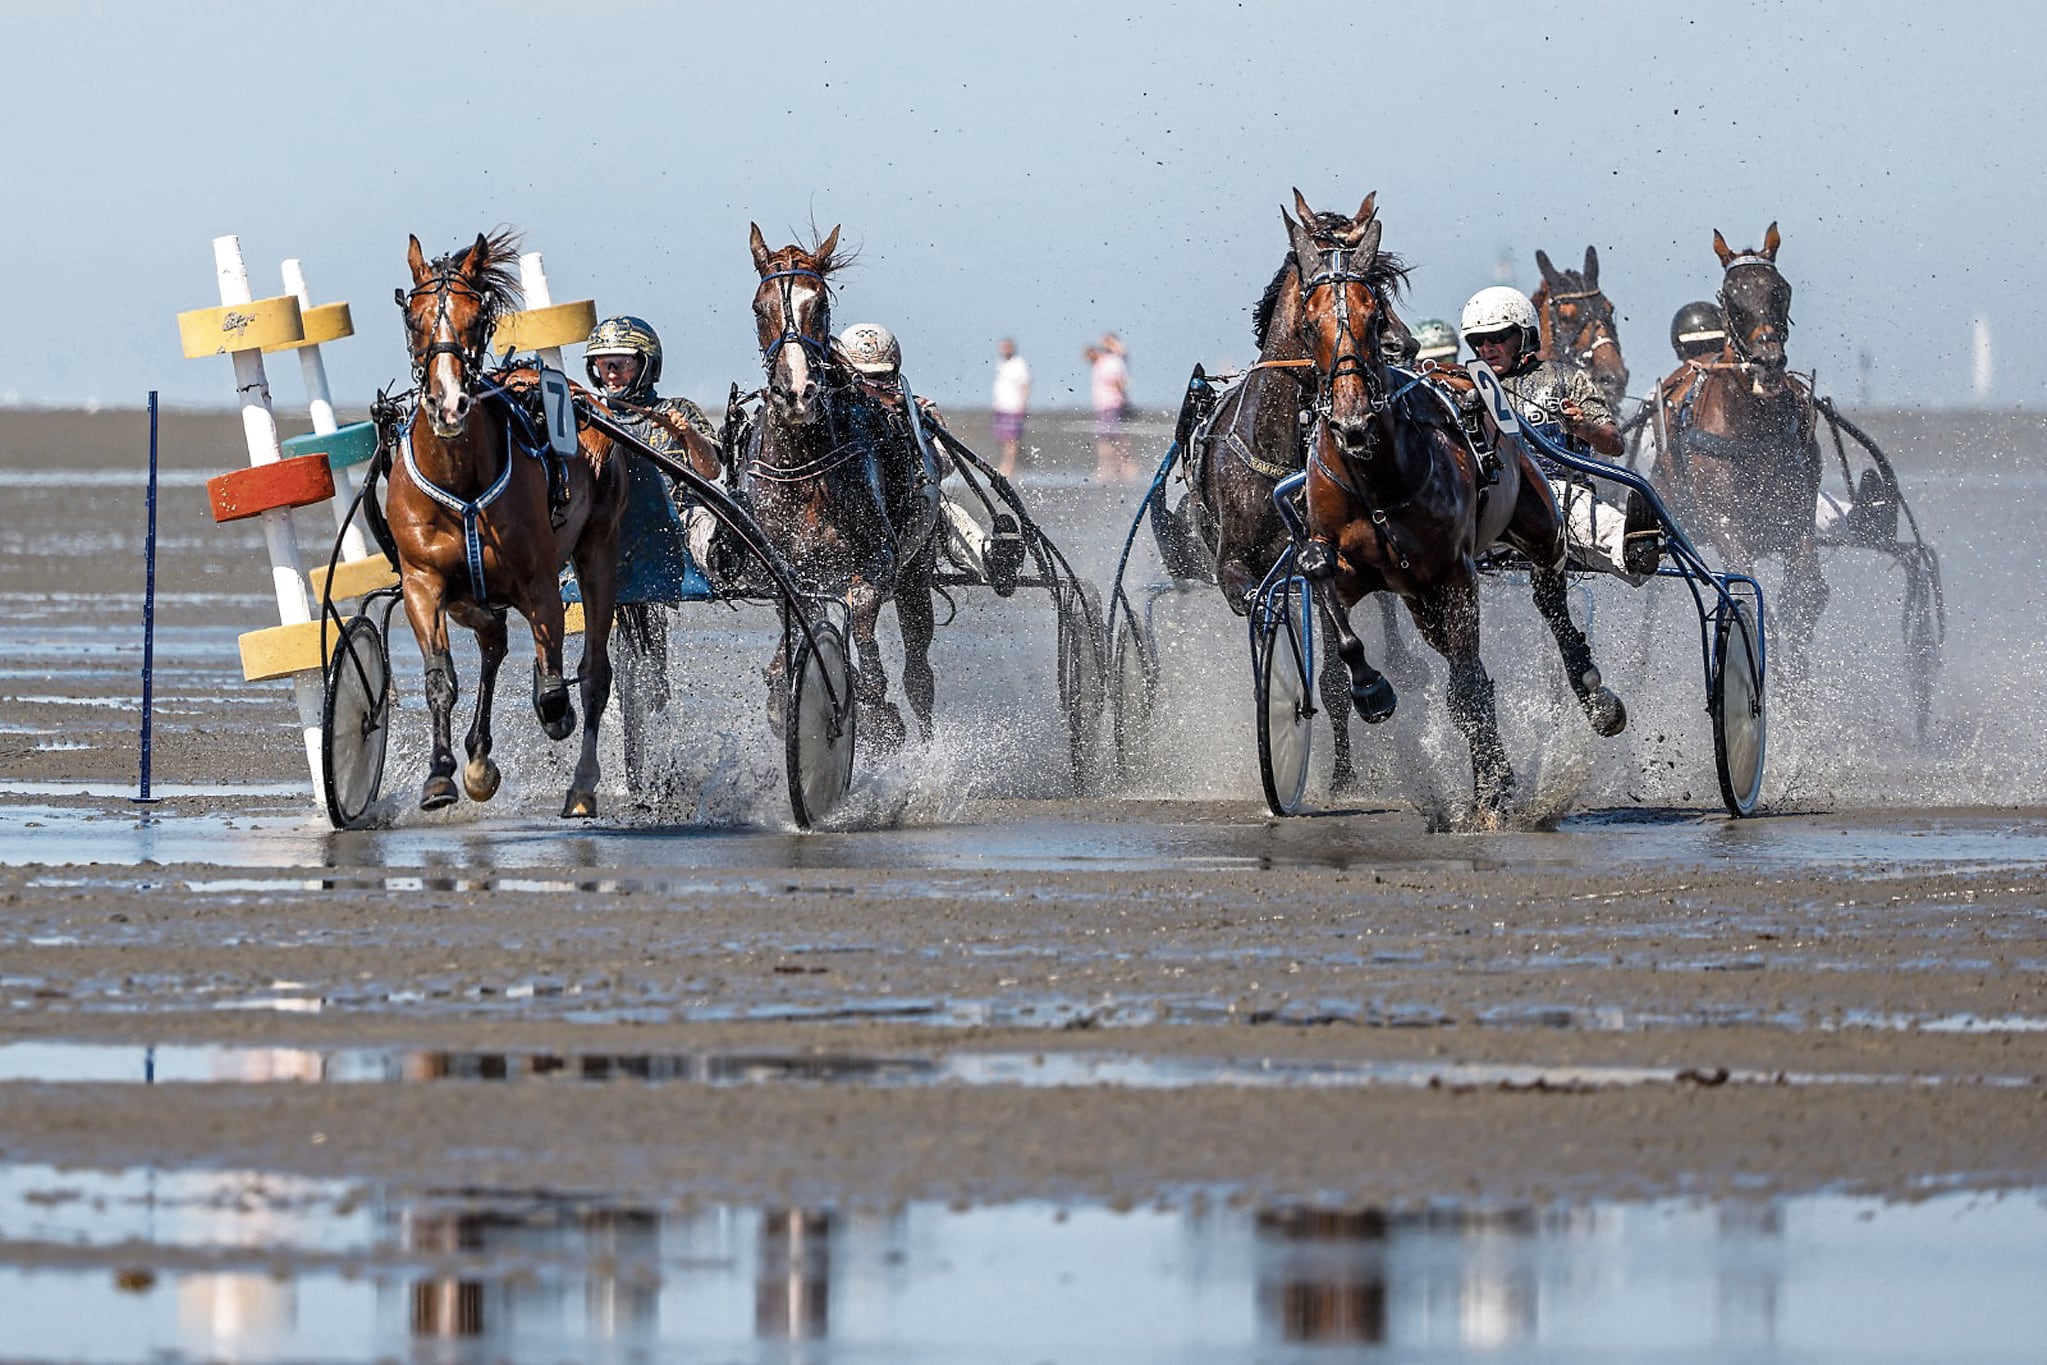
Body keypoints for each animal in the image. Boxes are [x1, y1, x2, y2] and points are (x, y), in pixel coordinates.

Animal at [385, 230, 625, 817]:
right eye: (414, 318)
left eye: (476, 318)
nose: (448, 403)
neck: (463, 483)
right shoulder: (424, 581)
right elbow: (441, 677)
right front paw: (441, 775)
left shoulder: (539, 582)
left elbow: (555, 689)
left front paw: (553, 710)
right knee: (493, 643)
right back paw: (477, 757)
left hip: (599, 550)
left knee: (594, 673)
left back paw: (581, 785)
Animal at [739, 224, 942, 748]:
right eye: (759, 307)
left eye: (821, 306)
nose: (796, 393)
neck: (806, 470)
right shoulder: (789, 573)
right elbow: (800, 630)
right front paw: (782, 695)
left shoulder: (880, 562)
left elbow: (865, 621)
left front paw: (877, 714)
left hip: (917, 569)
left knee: (919, 672)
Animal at [1651, 223, 1825, 666]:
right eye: (1731, 296)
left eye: (1781, 289)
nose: (1768, 362)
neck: (1752, 428)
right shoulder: (1723, 520)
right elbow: (1745, 587)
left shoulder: (1797, 518)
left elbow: (1805, 597)